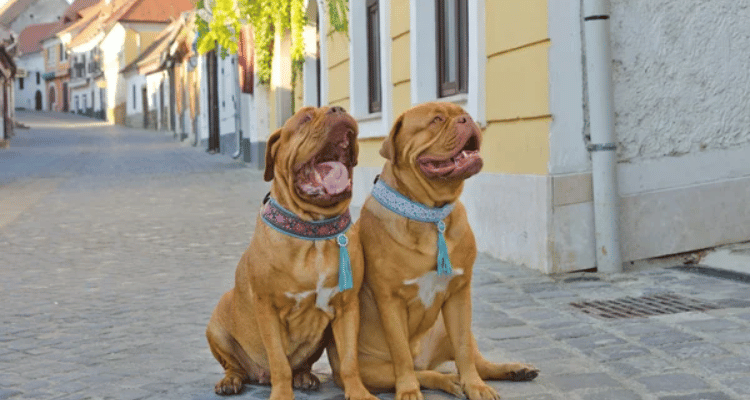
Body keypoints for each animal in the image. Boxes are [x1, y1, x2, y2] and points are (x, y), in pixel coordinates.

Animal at [207, 105, 376, 400]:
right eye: (305, 118)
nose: (338, 108)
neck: (314, 230)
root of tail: (257, 375)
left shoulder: (348, 307)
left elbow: (349, 361)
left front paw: (358, 392)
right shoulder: (268, 310)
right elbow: (279, 363)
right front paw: (282, 394)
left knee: (302, 364)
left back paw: (305, 376)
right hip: (216, 327)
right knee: (234, 365)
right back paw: (231, 380)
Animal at [328, 101, 540, 400]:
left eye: (462, 114)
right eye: (436, 120)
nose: (466, 118)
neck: (430, 213)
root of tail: (426, 358)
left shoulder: (460, 294)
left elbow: (463, 351)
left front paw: (475, 386)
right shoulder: (390, 299)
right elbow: (401, 354)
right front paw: (408, 391)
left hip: (445, 327)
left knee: (477, 360)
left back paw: (511, 370)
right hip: (370, 370)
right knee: (420, 372)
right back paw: (447, 381)